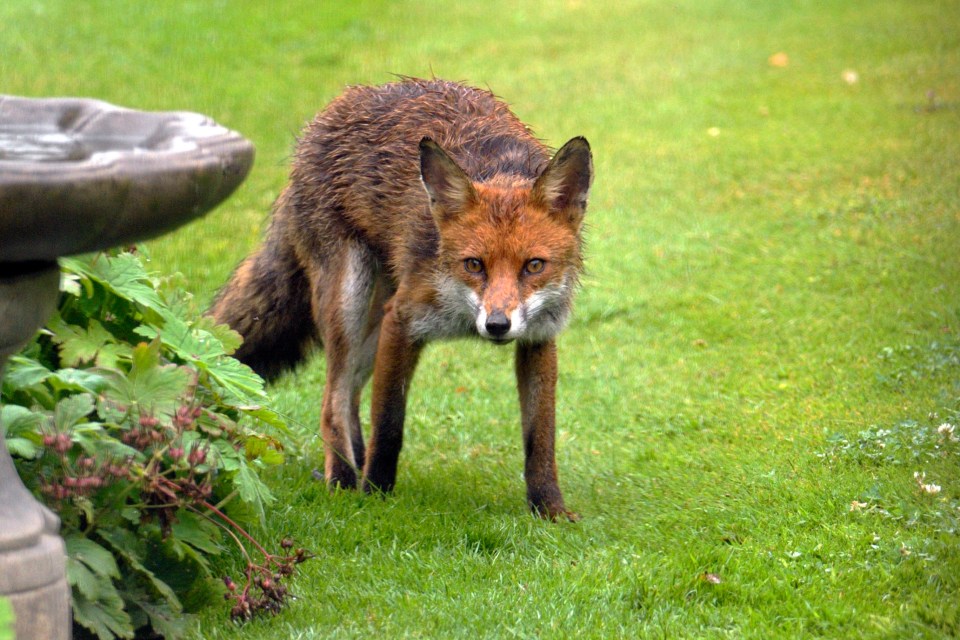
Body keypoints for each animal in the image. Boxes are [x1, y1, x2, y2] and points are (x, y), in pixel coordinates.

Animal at [212, 80, 592, 520]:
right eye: (474, 264)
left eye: (533, 265)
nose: (497, 326)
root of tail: (330, 112)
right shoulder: (404, 320)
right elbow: (389, 423)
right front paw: (376, 493)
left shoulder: (538, 337)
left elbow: (540, 438)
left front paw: (549, 509)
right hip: (350, 300)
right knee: (332, 402)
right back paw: (344, 479)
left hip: (371, 325)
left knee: (350, 396)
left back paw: (349, 463)